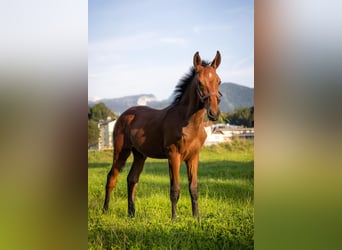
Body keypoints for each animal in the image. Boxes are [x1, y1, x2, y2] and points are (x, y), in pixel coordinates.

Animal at [103, 50, 222, 219]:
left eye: (219, 81)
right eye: (199, 82)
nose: (214, 113)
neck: (187, 122)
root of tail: (122, 116)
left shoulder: (193, 157)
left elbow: (193, 188)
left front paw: (197, 218)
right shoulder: (173, 155)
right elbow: (175, 189)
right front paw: (174, 219)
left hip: (139, 155)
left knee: (132, 179)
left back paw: (131, 213)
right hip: (121, 151)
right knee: (112, 177)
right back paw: (105, 210)